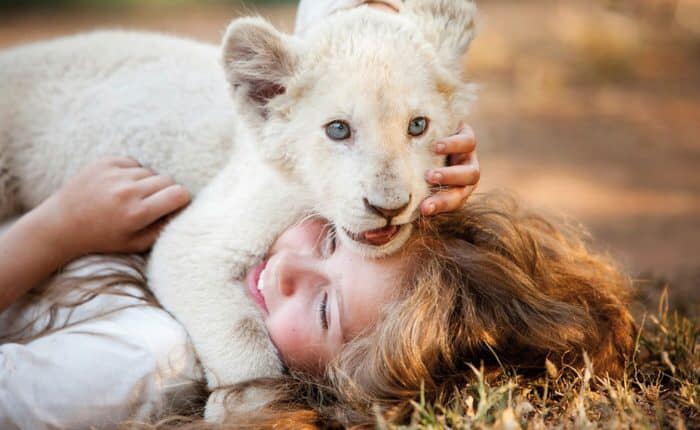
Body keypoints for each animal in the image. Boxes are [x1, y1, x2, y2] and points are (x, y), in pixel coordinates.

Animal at [0, 0, 478, 420]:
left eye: (418, 125)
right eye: (338, 129)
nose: (388, 207)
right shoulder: (196, 237)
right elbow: (241, 332)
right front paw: (249, 403)